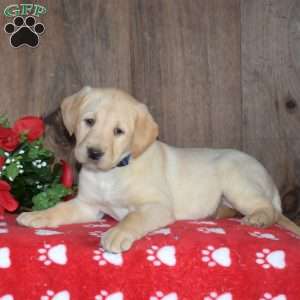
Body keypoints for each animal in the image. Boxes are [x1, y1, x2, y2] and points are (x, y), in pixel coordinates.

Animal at [17, 87, 300, 253]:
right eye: (89, 121)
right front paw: (38, 214)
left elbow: (133, 218)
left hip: (236, 179)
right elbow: (60, 208)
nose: (94, 153)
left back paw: (258, 218)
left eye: (119, 131)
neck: (111, 173)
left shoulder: (156, 206)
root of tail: (271, 183)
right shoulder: (87, 205)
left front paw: (117, 233)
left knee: (270, 210)